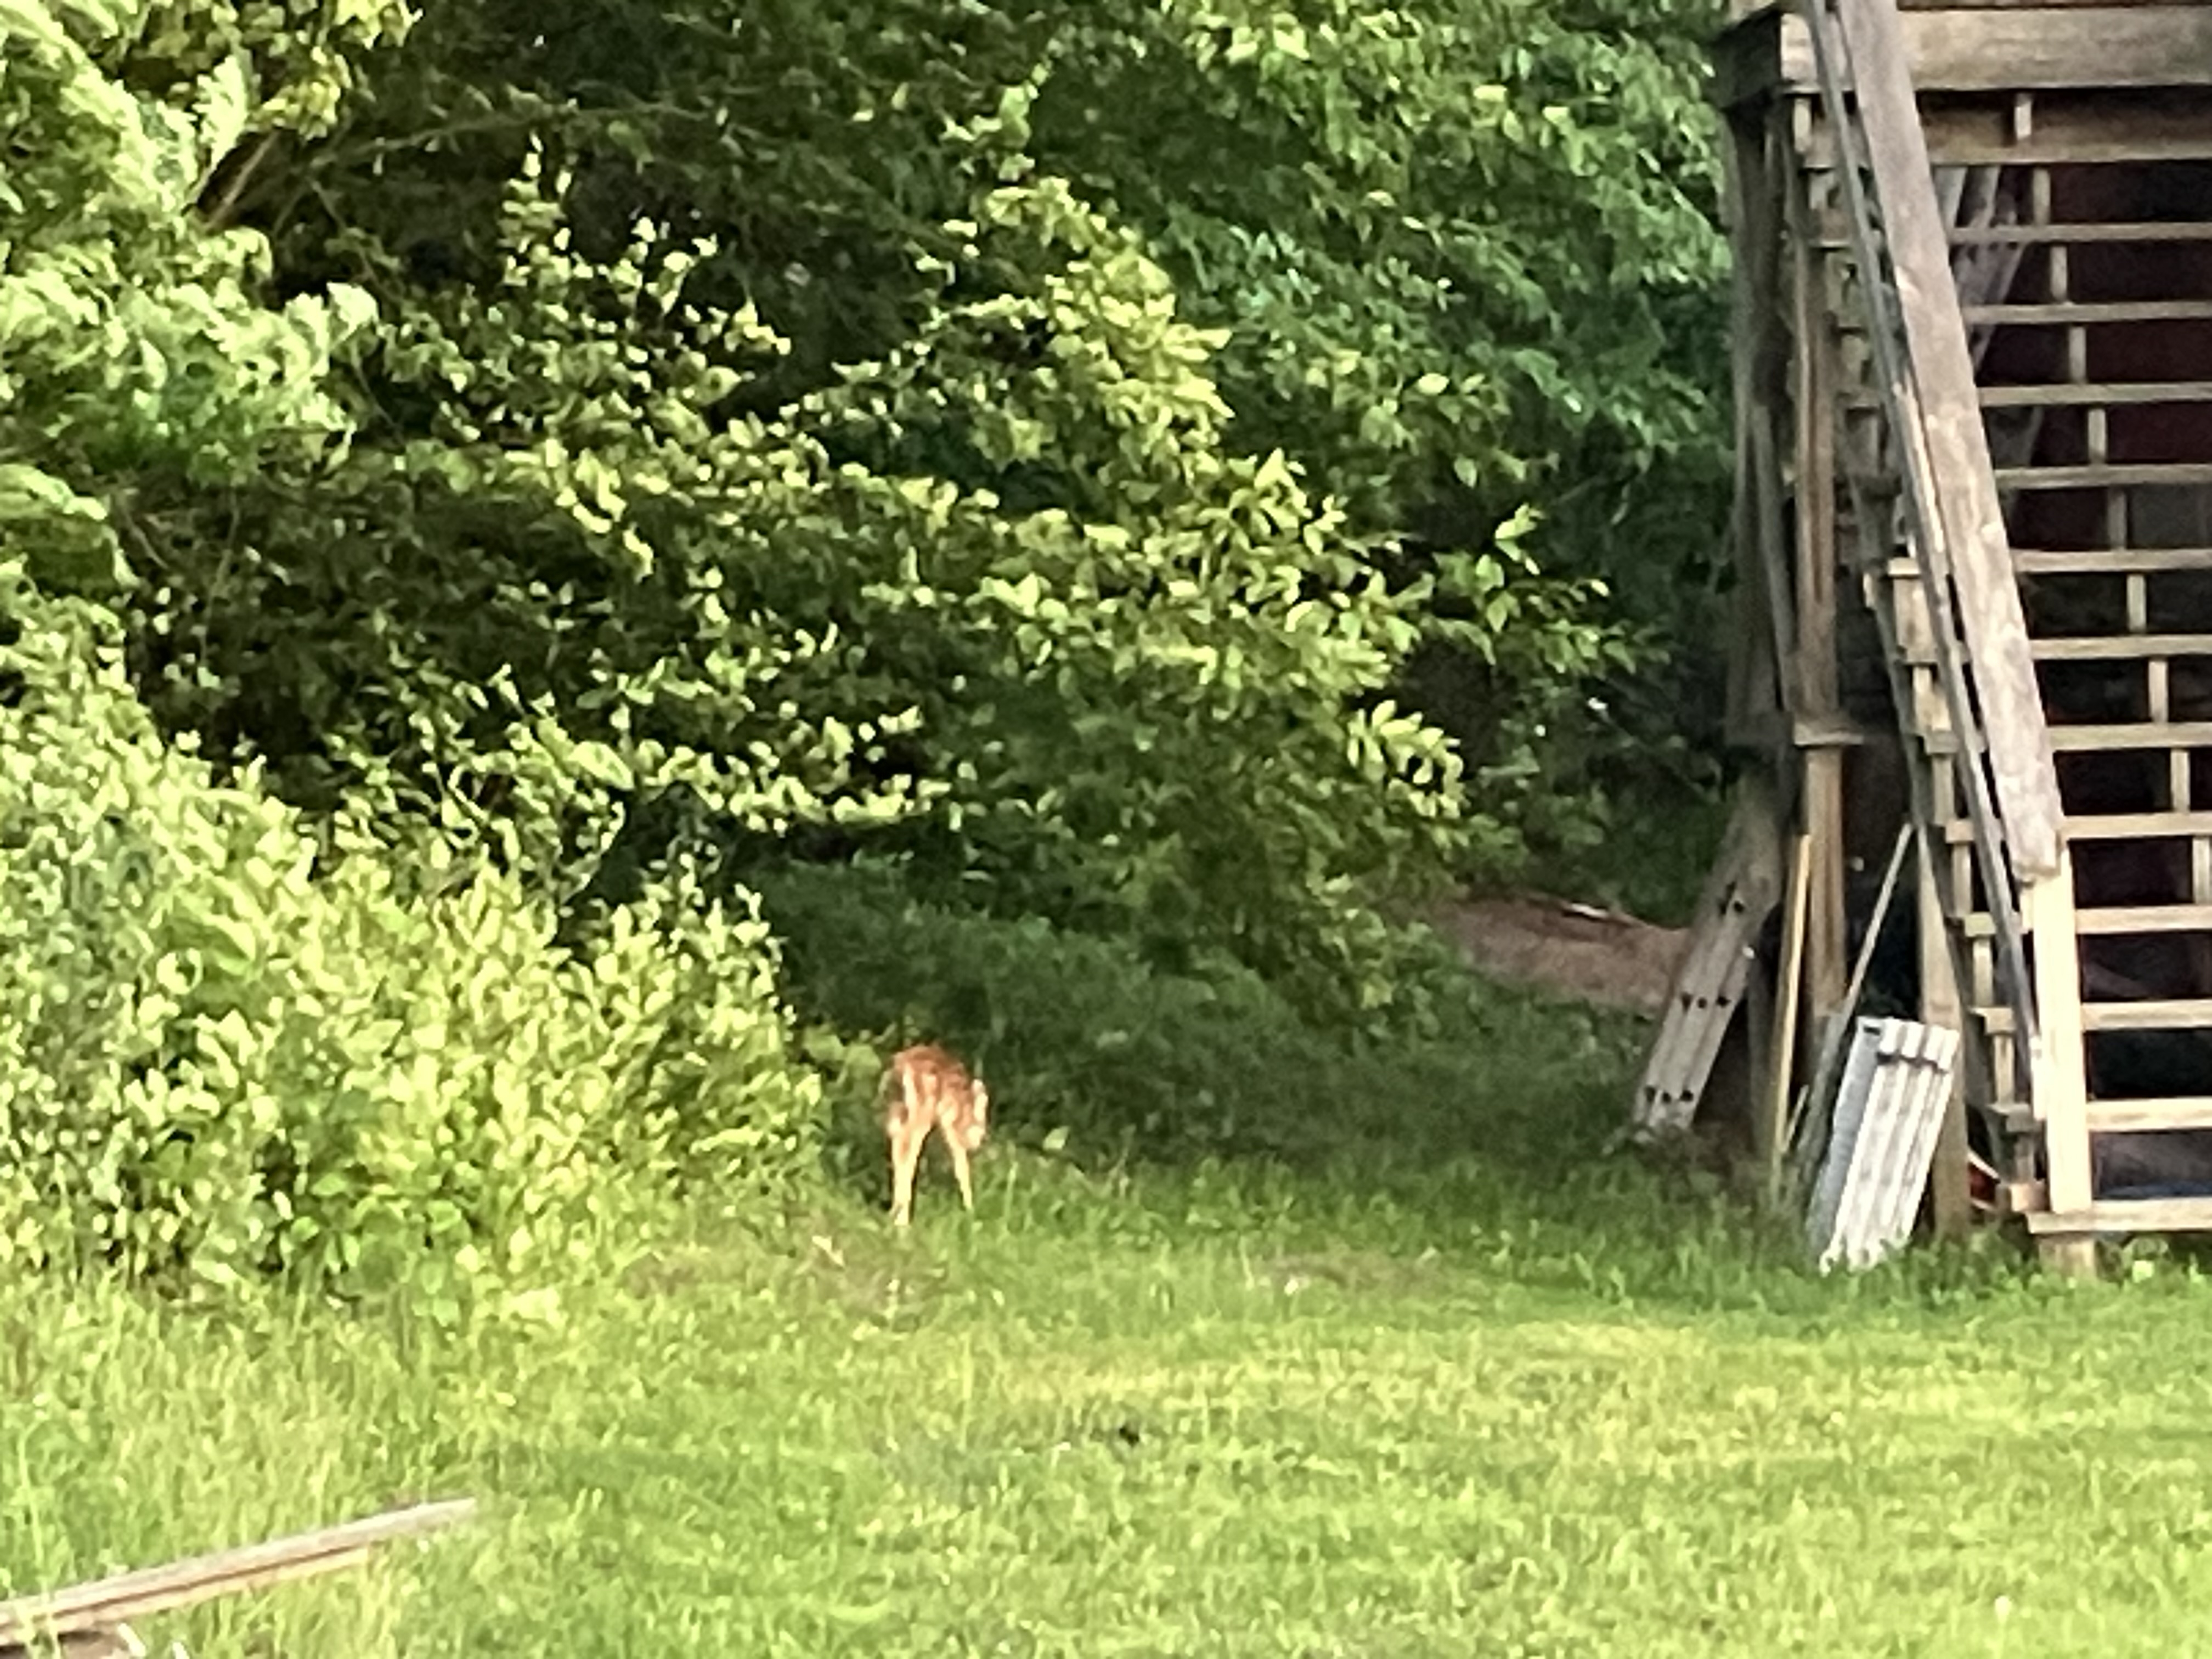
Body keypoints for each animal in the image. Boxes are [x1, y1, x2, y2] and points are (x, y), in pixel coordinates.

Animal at [882, 1043, 990, 1227]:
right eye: (981, 1126)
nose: (978, 1143)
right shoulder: (950, 1124)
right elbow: (961, 1167)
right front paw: (971, 1212)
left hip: (896, 1108)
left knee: (898, 1148)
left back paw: (894, 1213)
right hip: (921, 1113)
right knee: (909, 1152)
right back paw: (903, 1221)